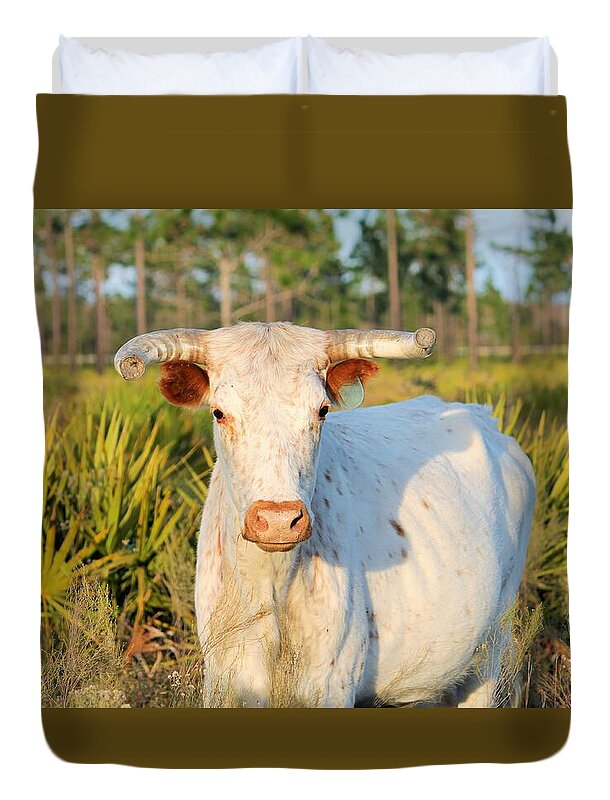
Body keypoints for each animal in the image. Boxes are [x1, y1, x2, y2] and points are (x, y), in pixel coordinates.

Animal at [114, 322, 535, 708]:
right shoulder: (224, 681)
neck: (272, 588)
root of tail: (484, 418)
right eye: (219, 413)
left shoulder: (330, 686)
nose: (279, 520)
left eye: (321, 410)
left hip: (491, 653)